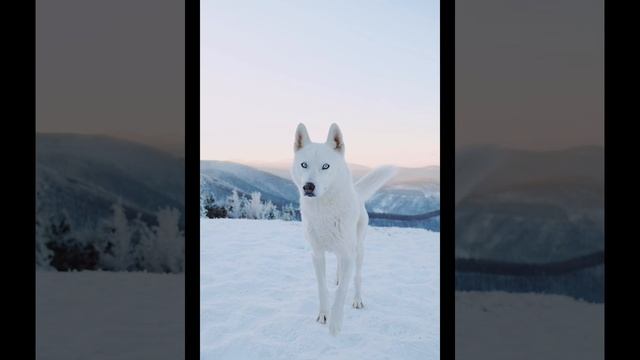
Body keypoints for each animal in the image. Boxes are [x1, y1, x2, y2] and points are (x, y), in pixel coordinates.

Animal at [290, 123, 396, 334]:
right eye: (304, 165)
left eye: (325, 166)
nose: (308, 187)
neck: (324, 211)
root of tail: (358, 194)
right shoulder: (316, 254)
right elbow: (322, 287)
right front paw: (324, 314)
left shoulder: (348, 255)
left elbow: (341, 291)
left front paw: (335, 325)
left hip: (358, 250)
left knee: (357, 277)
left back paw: (357, 300)